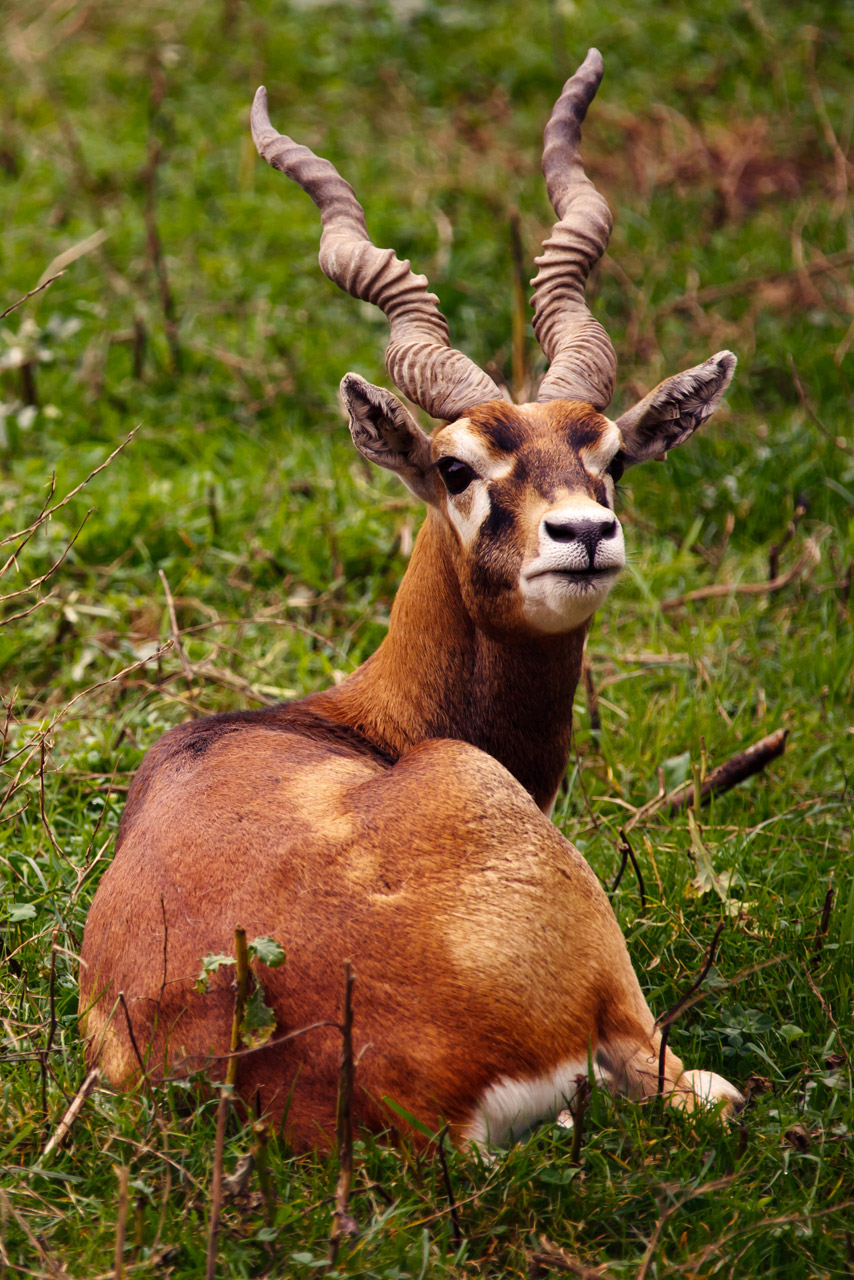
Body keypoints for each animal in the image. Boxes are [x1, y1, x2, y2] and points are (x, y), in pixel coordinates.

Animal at [83, 49, 742, 1152]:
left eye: (608, 455)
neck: (362, 721)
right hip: (612, 987)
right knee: (694, 1088)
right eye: (455, 465)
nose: (583, 534)